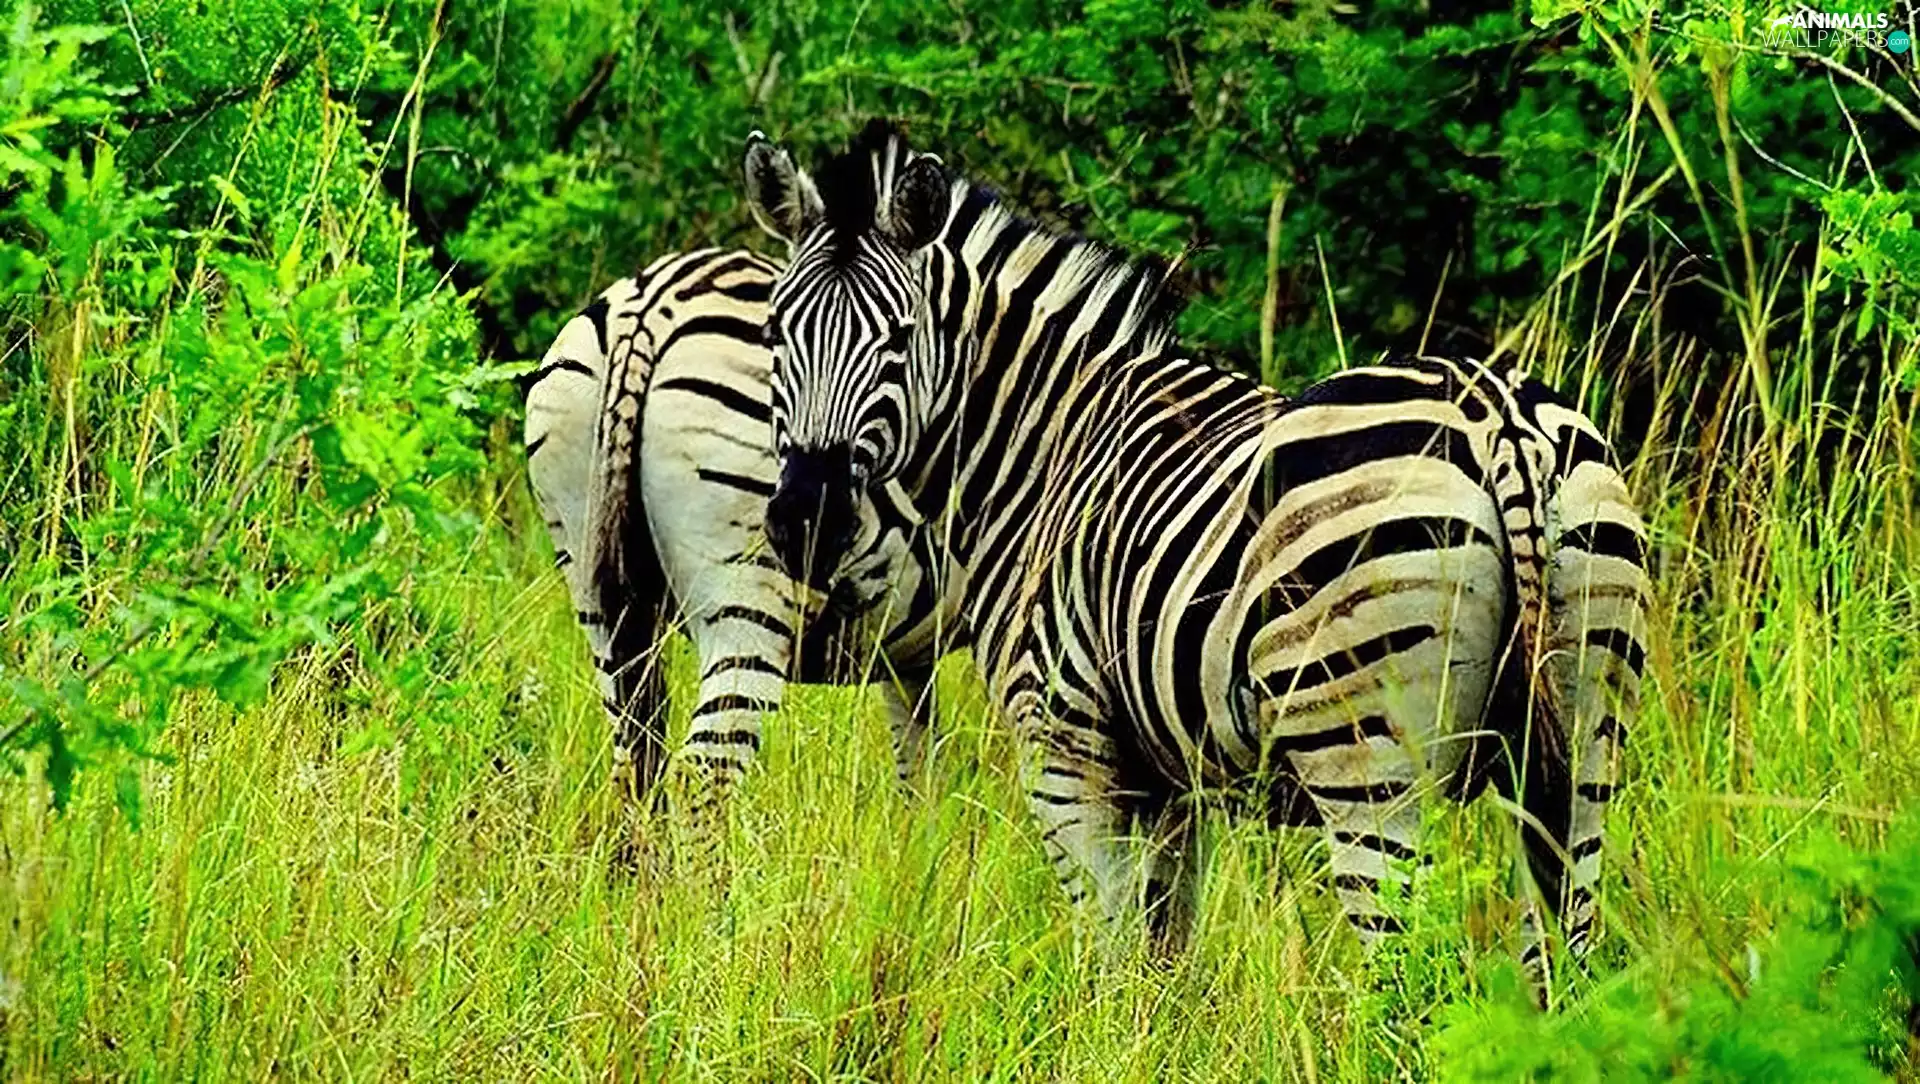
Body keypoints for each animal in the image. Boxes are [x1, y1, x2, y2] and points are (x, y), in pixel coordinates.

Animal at [522, 247, 965, 834]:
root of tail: (650, 302)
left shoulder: (911, 654)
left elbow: (920, 773)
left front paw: (918, 855)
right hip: (747, 597)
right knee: (701, 775)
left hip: (593, 581)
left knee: (634, 762)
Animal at [739, 121, 1650, 984]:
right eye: (777, 332)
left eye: (897, 339)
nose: (805, 518)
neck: (1048, 453)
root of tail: (1498, 417)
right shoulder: (1170, 779)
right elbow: (1165, 958)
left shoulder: (1065, 748)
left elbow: (1107, 956)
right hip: (1585, 737)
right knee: (1561, 956)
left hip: (1365, 756)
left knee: (1407, 977)